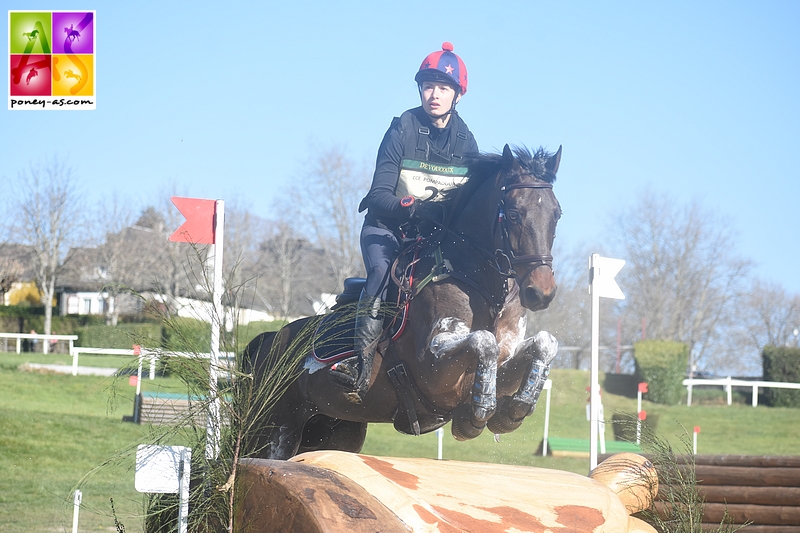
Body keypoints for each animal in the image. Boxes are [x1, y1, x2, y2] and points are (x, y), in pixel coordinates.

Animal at [244, 143, 564, 460]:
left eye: (557, 214)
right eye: (514, 214)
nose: (541, 292)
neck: (485, 289)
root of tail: (272, 339)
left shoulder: (504, 360)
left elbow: (545, 343)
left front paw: (515, 408)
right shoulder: (433, 369)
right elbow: (483, 340)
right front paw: (478, 414)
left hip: (336, 430)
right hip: (275, 429)